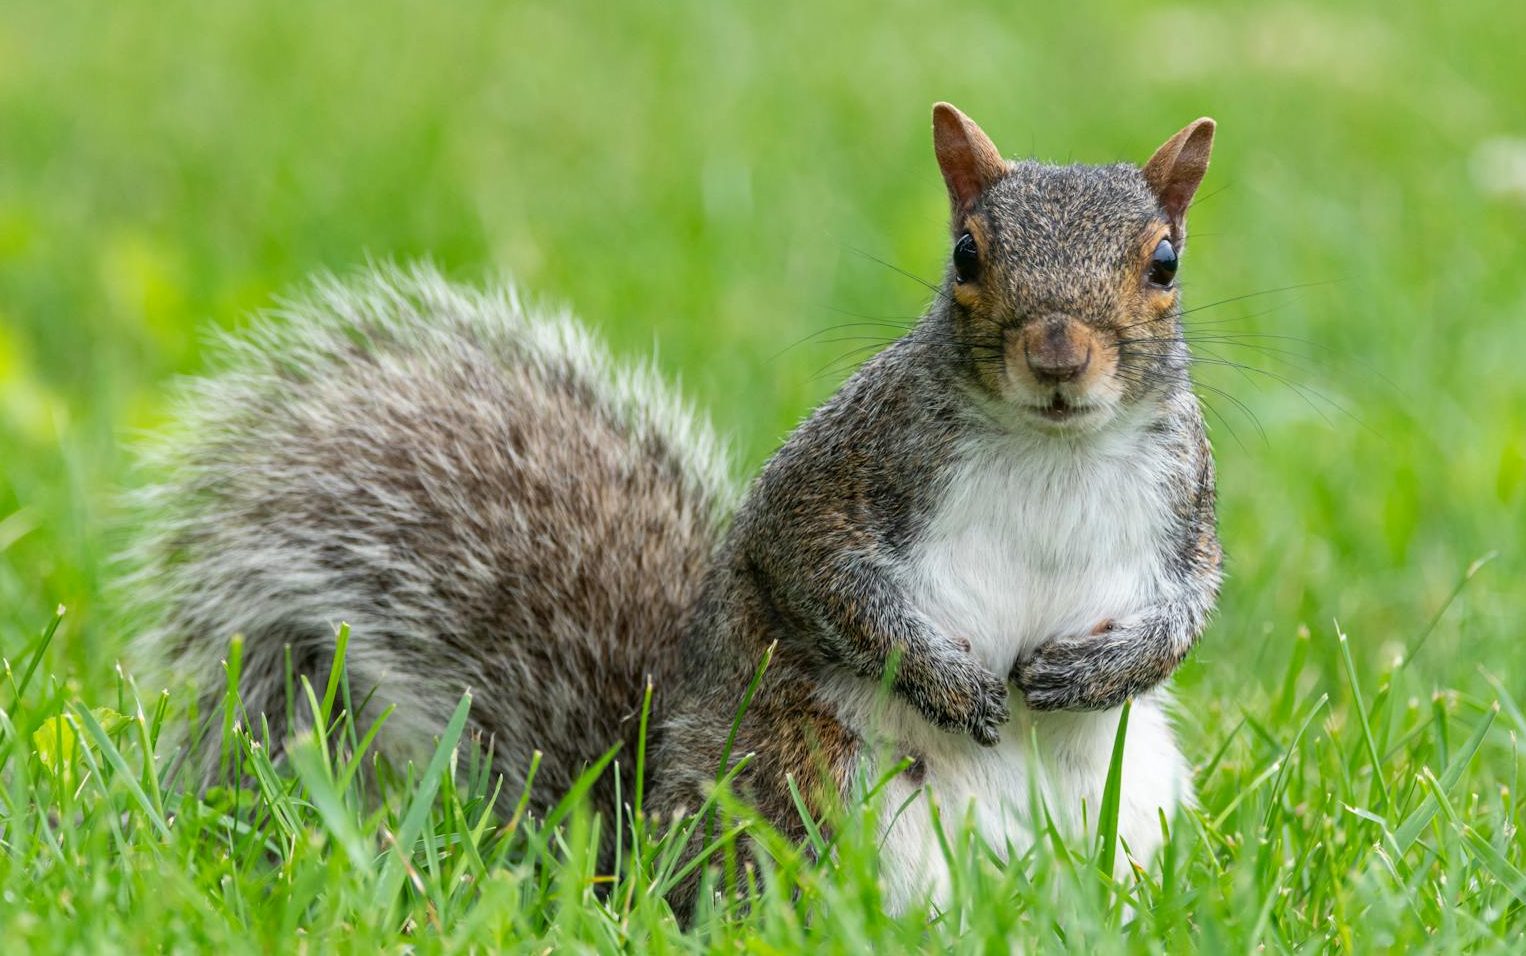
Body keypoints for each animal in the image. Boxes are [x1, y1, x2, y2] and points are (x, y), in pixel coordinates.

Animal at [129, 103, 1221, 915]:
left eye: (1164, 263)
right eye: (965, 254)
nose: (1056, 353)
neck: (1052, 445)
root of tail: (639, 850)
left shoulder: (1189, 501)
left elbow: (1186, 609)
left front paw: (1098, 670)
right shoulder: (841, 474)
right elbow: (819, 575)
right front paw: (946, 681)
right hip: (815, 790)